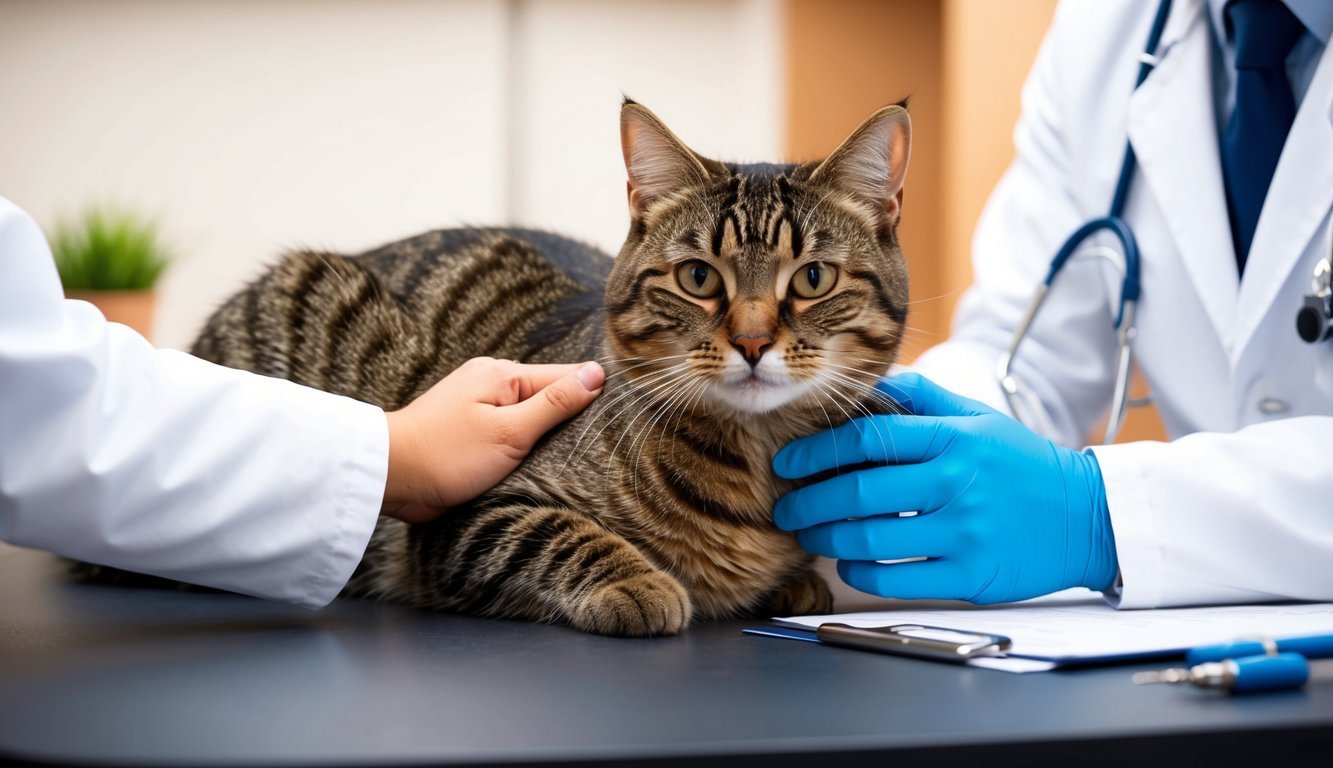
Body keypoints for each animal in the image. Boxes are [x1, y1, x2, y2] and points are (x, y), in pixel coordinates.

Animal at [193, 102, 911, 640]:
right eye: (698, 277)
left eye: (812, 279)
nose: (753, 341)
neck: (754, 461)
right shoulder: (463, 519)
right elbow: (558, 533)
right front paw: (638, 580)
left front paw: (790, 581)